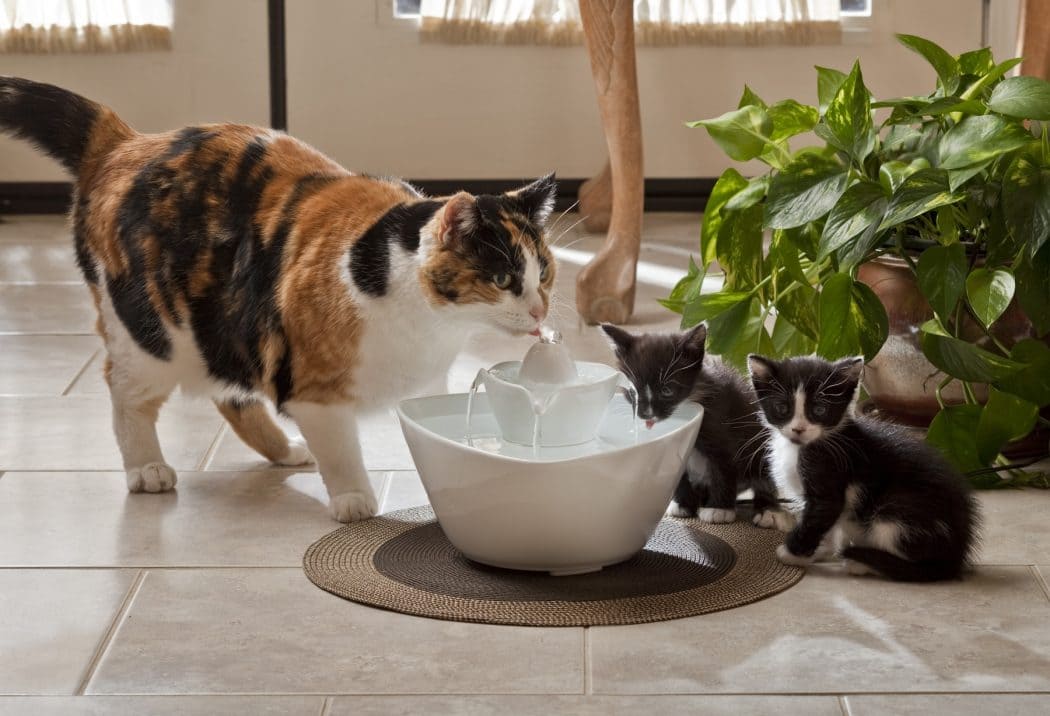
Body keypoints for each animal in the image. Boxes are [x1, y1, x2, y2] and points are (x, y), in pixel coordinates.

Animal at [0, 78, 558, 520]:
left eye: (545, 273)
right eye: (503, 278)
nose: (539, 311)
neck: (427, 325)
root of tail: (126, 142)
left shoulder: (424, 381)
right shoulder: (314, 392)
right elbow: (340, 449)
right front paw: (354, 500)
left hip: (226, 324)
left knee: (230, 392)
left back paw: (285, 451)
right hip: (150, 332)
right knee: (125, 391)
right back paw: (147, 468)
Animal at [600, 321, 789, 527]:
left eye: (667, 390)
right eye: (632, 391)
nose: (646, 414)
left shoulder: (721, 426)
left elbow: (723, 466)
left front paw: (719, 510)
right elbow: (678, 473)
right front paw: (683, 505)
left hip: (759, 441)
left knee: (765, 475)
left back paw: (768, 509)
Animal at [747, 352, 974, 579]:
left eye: (819, 409)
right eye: (782, 408)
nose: (798, 429)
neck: (804, 447)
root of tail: (955, 554)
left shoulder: (828, 471)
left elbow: (818, 517)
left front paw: (791, 555)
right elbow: (826, 524)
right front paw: (820, 551)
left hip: (898, 510)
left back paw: (862, 564)